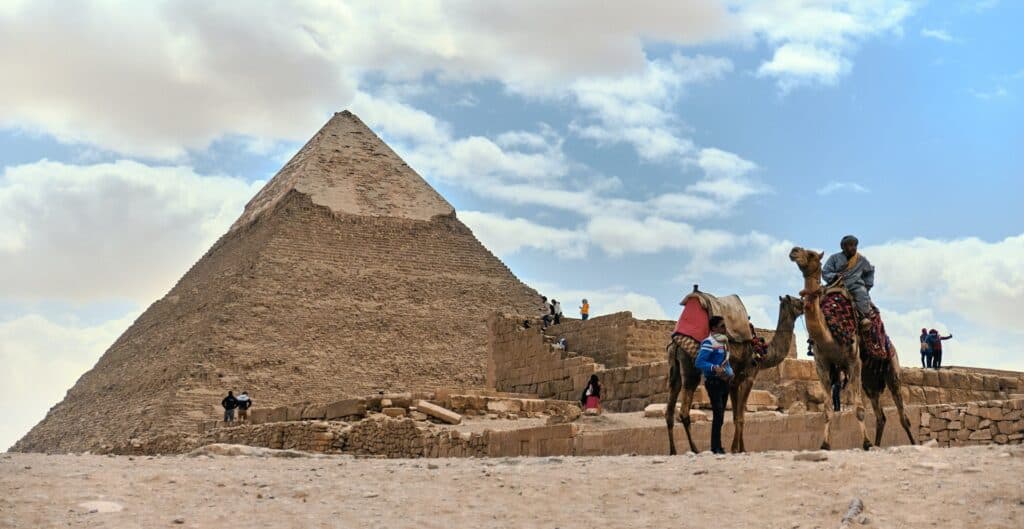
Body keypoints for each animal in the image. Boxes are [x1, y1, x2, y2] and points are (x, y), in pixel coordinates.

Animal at [663, 292, 806, 454]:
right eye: (796, 300)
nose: (805, 304)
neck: (763, 352)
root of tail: (676, 343)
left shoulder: (733, 381)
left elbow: (736, 415)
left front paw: (740, 448)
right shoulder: (749, 376)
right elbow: (741, 416)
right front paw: (736, 449)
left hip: (673, 367)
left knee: (670, 409)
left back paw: (673, 451)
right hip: (690, 367)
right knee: (683, 411)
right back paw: (695, 449)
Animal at [786, 245, 917, 448]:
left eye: (812, 254)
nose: (794, 251)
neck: (830, 333)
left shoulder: (853, 361)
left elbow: (859, 409)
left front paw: (866, 443)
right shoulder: (822, 365)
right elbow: (827, 410)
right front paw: (825, 444)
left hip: (892, 369)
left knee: (902, 413)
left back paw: (911, 442)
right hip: (870, 381)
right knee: (881, 416)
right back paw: (878, 443)